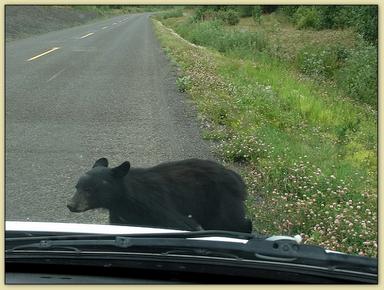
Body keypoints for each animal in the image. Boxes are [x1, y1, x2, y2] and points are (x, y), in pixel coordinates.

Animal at [67, 157, 254, 232]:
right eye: (77, 187)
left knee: (230, 222)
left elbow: (181, 223)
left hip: (220, 200)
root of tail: (237, 177)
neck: (124, 199)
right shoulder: (121, 214)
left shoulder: (156, 204)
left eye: (89, 189)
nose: (71, 205)